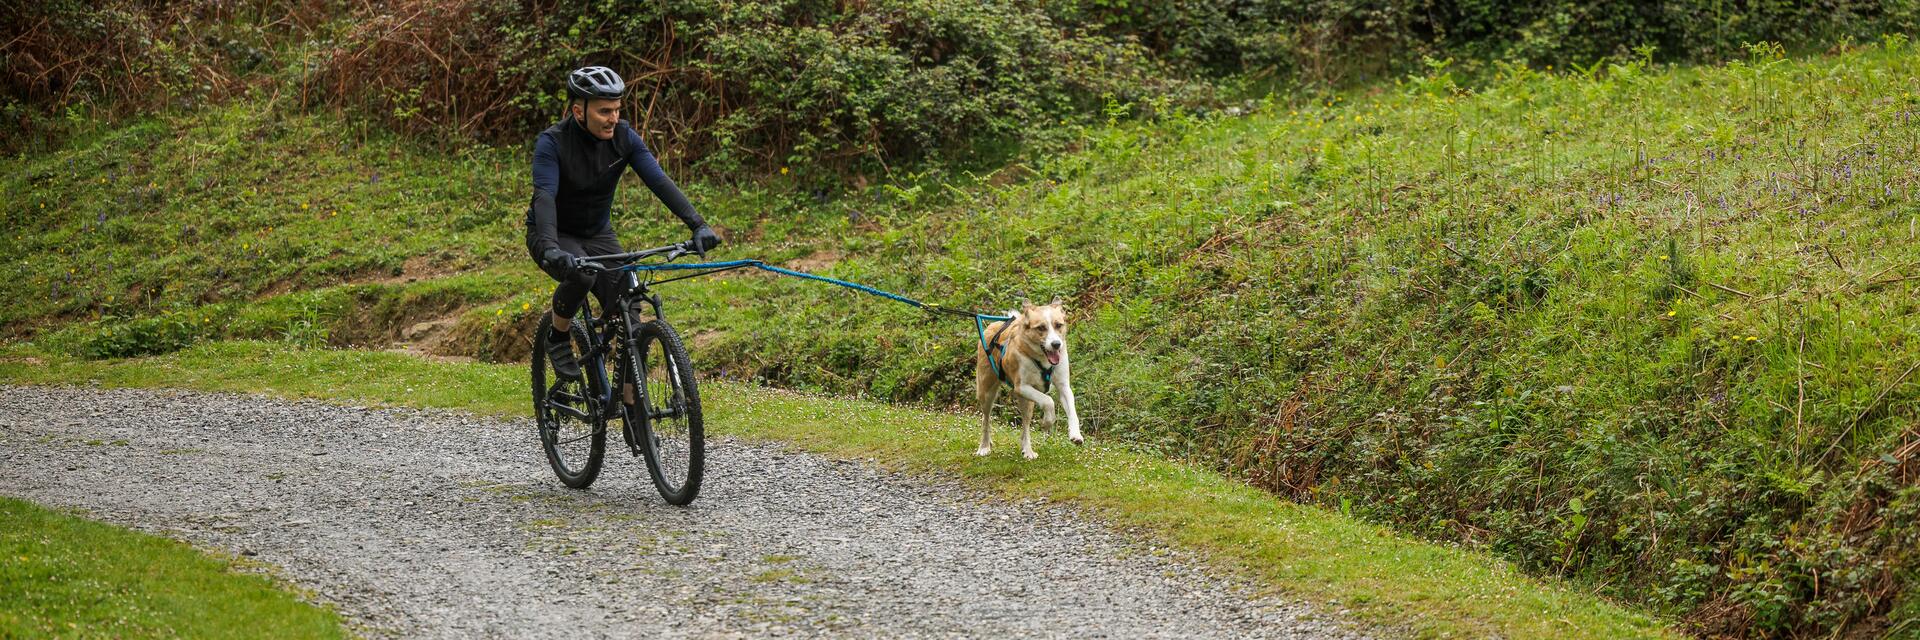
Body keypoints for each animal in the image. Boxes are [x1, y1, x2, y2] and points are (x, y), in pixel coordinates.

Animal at [975, 297, 1082, 459]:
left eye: (1058, 325)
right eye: (1041, 328)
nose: (1056, 344)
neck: (1042, 360)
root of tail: (994, 325)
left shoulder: (1063, 386)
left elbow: (1072, 411)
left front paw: (1076, 434)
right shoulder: (1022, 387)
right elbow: (1048, 401)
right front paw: (1048, 422)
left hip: (1027, 402)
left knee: (1025, 424)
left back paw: (1027, 450)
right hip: (987, 391)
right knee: (986, 419)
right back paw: (984, 446)